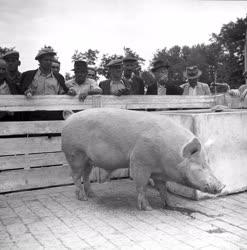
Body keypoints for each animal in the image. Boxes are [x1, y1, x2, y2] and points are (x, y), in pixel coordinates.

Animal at [61, 108, 224, 210]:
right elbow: (141, 185)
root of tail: (70, 116)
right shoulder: (140, 161)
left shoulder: (159, 173)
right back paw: (83, 198)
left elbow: (163, 188)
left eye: (208, 163)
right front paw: (148, 208)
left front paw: (170, 205)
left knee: (86, 175)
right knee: (75, 176)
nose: (222, 185)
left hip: (88, 160)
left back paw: (93, 195)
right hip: (75, 154)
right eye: (201, 166)